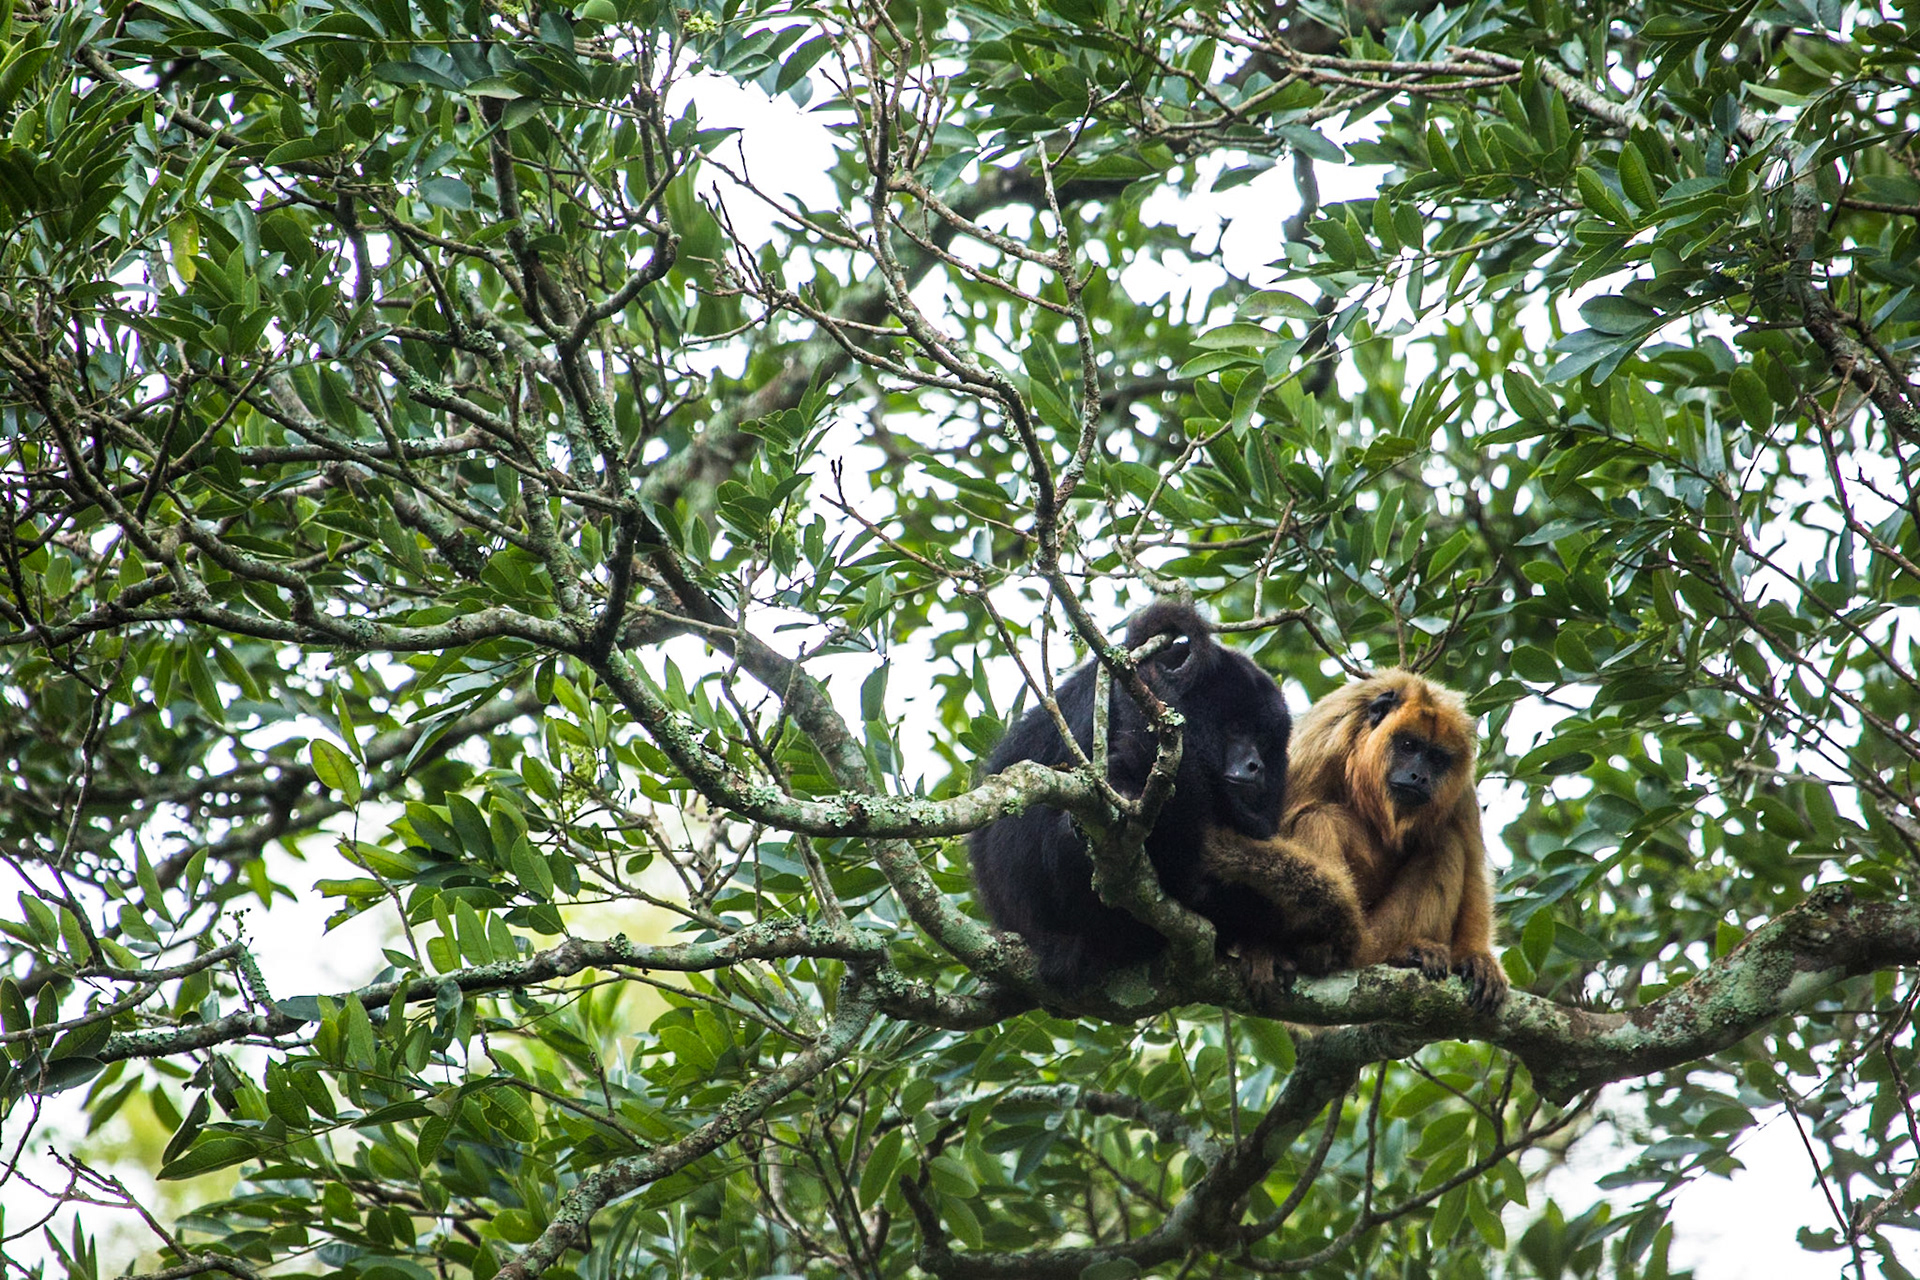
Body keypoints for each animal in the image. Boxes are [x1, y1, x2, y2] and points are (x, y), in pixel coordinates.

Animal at [1203, 668, 1507, 1012]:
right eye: (1408, 745)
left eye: (1437, 758)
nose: (1419, 776)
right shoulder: (1319, 745)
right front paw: (1262, 949)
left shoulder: (1461, 789)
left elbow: (1473, 869)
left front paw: (1477, 957)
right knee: (1315, 817)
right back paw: (1319, 947)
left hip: (1382, 932)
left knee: (1444, 841)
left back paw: (1409, 951)